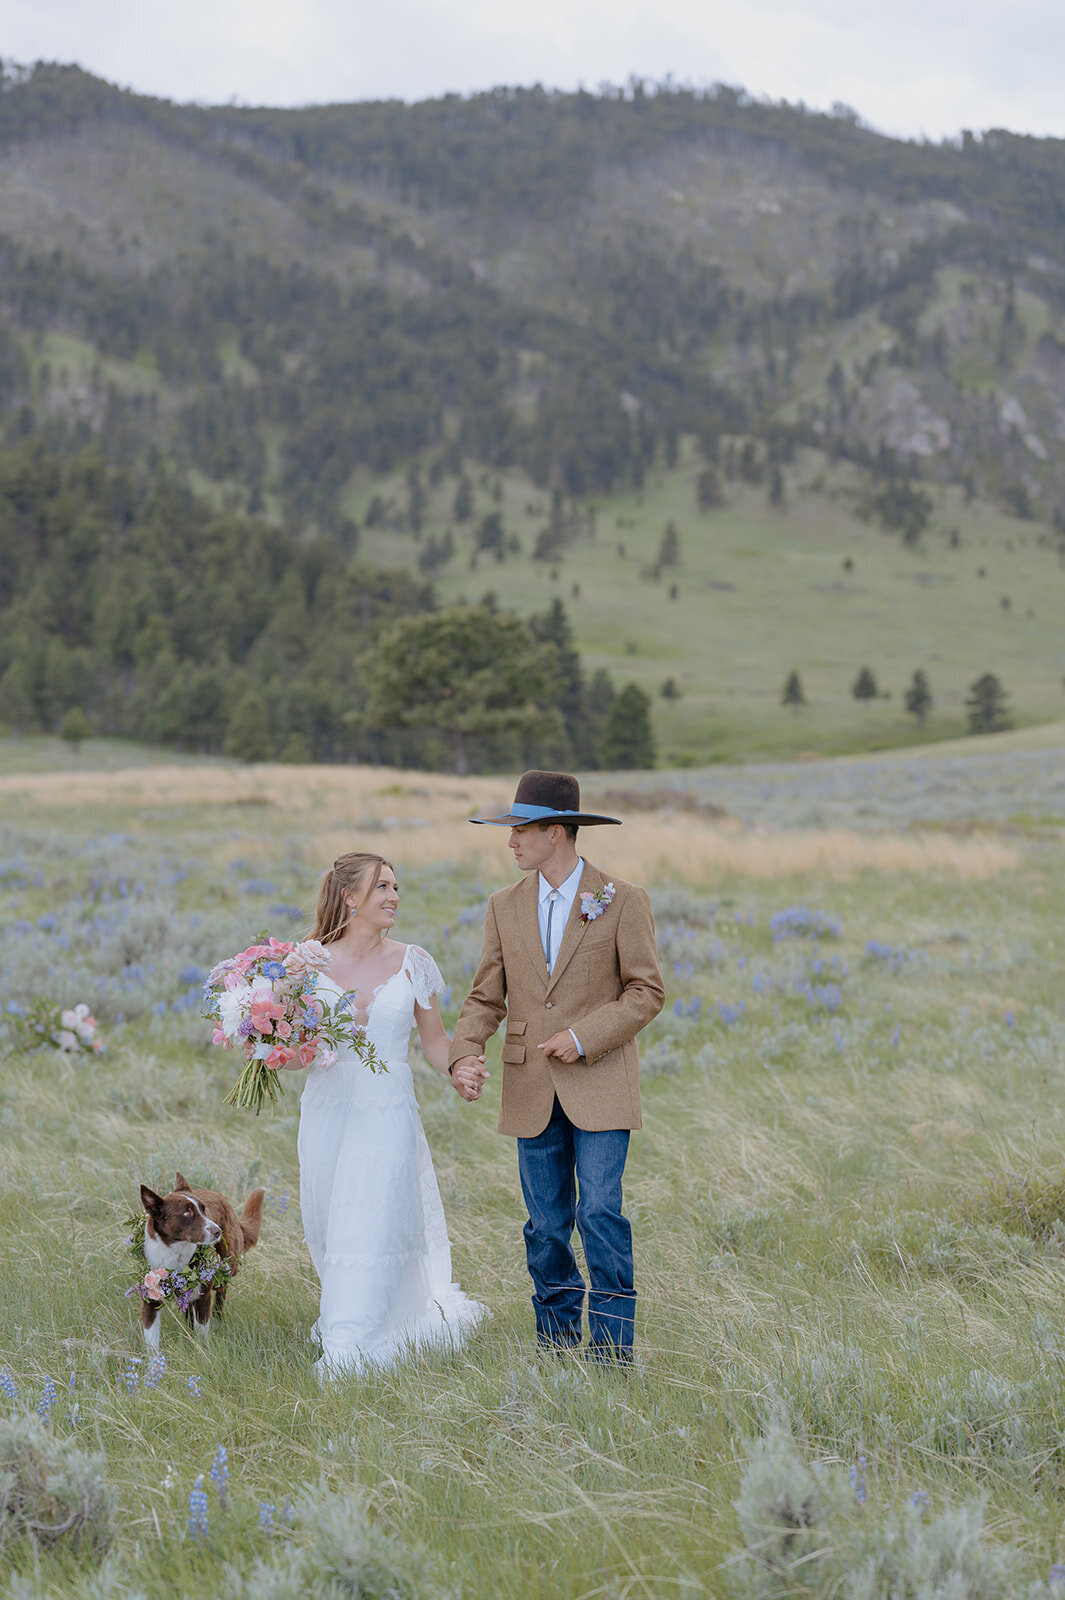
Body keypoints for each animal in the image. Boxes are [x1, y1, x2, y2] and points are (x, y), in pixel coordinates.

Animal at [136, 1171, 263, 1344]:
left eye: (204, 1209)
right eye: (187, 1212)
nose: (218, 1231)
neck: (175, 1252)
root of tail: (220, 1196)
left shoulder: (204, 1294)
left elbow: (202, 1328)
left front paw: (203, 1346)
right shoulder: (150, 1298)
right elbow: (151, 1339)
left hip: (227, 1264)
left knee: (221, 1292)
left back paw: (217, 1322)